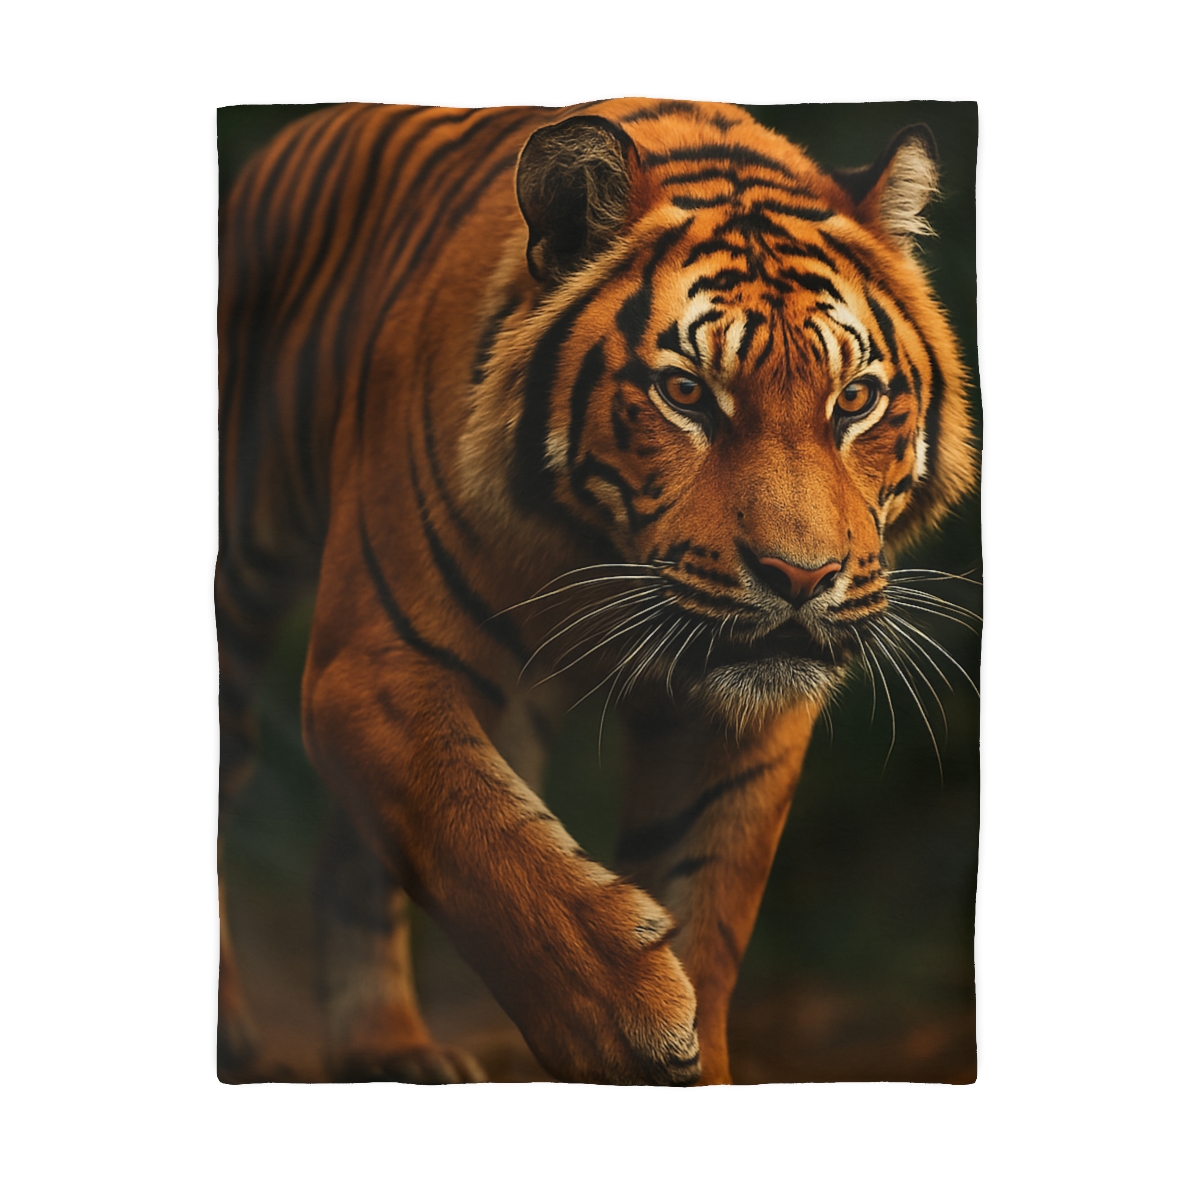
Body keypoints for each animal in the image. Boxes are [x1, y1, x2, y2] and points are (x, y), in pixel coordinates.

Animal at [216, 99, 976, 1085]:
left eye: (854, 400)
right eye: (686, 392)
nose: (801, 579)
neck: (596, 556)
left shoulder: (744, 724)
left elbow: (707, 903)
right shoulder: (374, 666)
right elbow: (489, 847)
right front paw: (635, 1023)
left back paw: (389, 1050)